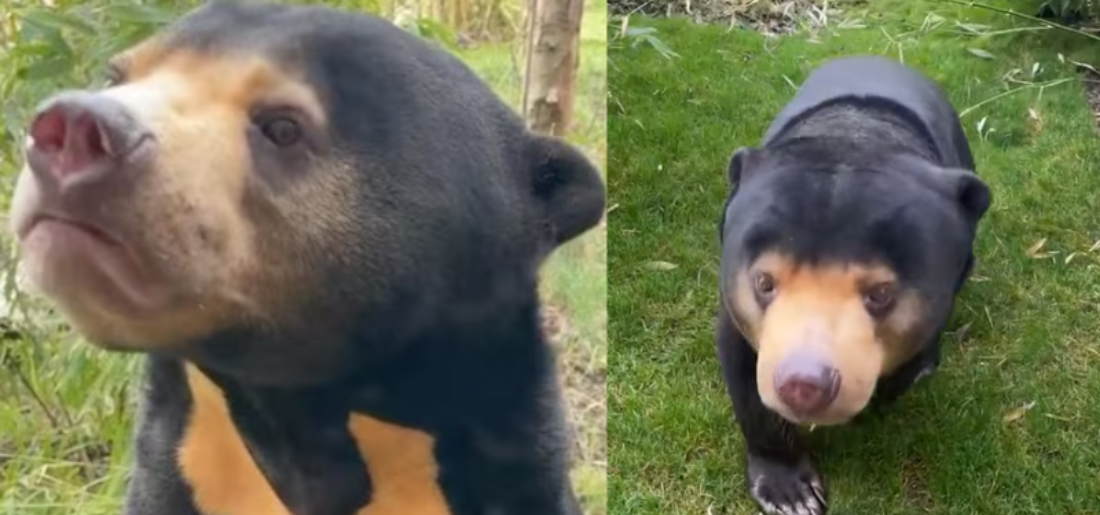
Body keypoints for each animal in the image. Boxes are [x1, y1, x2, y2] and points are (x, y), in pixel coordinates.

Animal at [715, 55, 992, 515]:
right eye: (764, 282)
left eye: (880, 293)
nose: (803, 385)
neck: (855, 134)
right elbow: (745, 379)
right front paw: (789, 491)